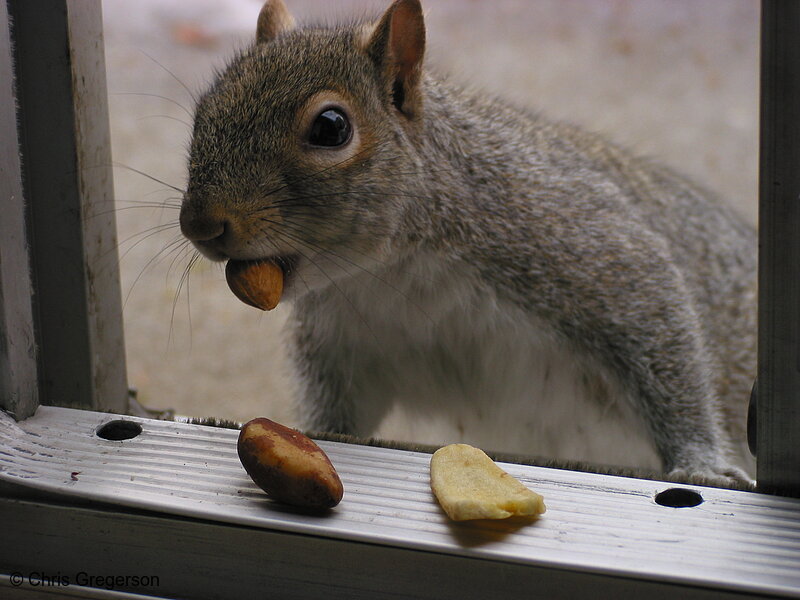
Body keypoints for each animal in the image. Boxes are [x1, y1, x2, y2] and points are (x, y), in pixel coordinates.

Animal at [178, 0, 760, 486]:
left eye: (331, 127)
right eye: (204, 110)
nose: (199, 225)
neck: (392, 272)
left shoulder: (586, 246)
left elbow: (661, 331)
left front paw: (700, 463)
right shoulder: (342, 347)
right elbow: (339, 417)